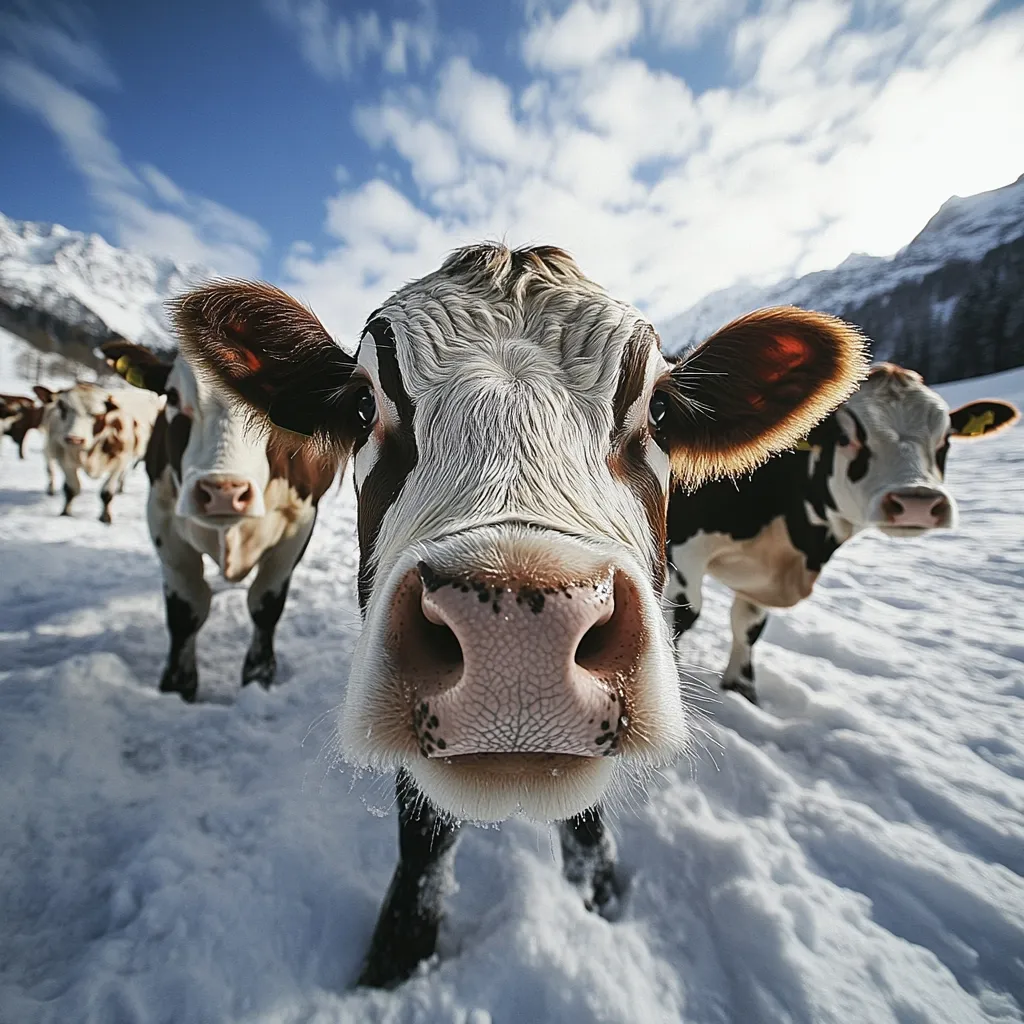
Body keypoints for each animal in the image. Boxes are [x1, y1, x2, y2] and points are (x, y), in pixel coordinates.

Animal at [35, 381, 162, 523]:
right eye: (63, 408)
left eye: (96, 414)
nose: (74, 439)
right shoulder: (65, 459)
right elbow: (71, 489)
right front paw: (65, 513)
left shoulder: (119, 461)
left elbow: (106, 493)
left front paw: (105, 517)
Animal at [101, 334, 341, 702]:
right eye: (173, 396)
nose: (223, 491)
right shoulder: (163, 518)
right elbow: (186, 610)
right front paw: (178, 684)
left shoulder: (299, 524)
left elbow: (265, 605)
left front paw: (259, 674)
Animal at [170, 247, 868, 988]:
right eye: (363, 404)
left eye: (662, 410)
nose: (518, 643)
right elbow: (424, 832)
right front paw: (400, 950)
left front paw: (595, 891)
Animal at [665, 361, 1020, 704]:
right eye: (846, 437)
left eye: (945, 439)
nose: (916, 501)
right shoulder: (683, 552)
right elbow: (681, 616)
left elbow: (748, 625)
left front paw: (740, 690)